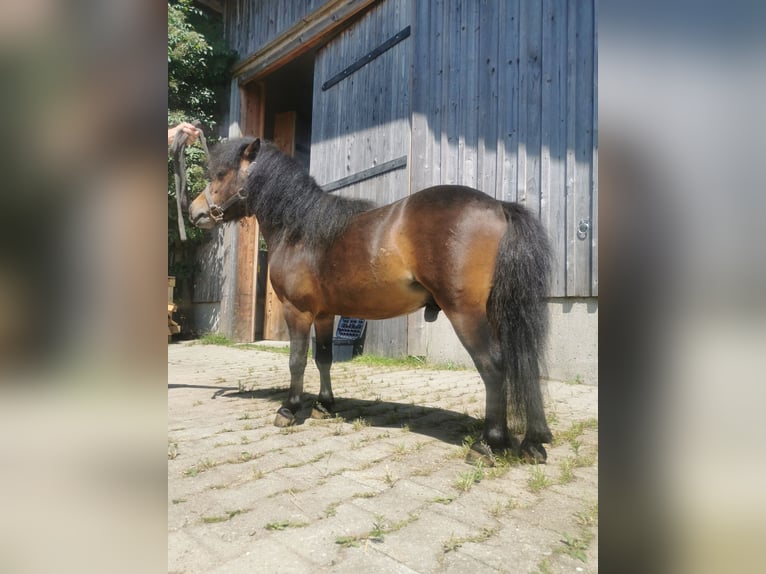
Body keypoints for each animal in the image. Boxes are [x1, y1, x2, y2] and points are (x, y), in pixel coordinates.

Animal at [190, 138, 556, 464]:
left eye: (221, 174)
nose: (194, 212)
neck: (300, 230)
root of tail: (499, 206)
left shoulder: (299, 311)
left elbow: (296, 360)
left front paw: (289, 409)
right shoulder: (325, 314)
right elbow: (324, 359)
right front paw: (324, 406)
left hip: (465, 313)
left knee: (493, 366)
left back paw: (489, 444)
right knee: (521, 362)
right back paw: (532, 442)